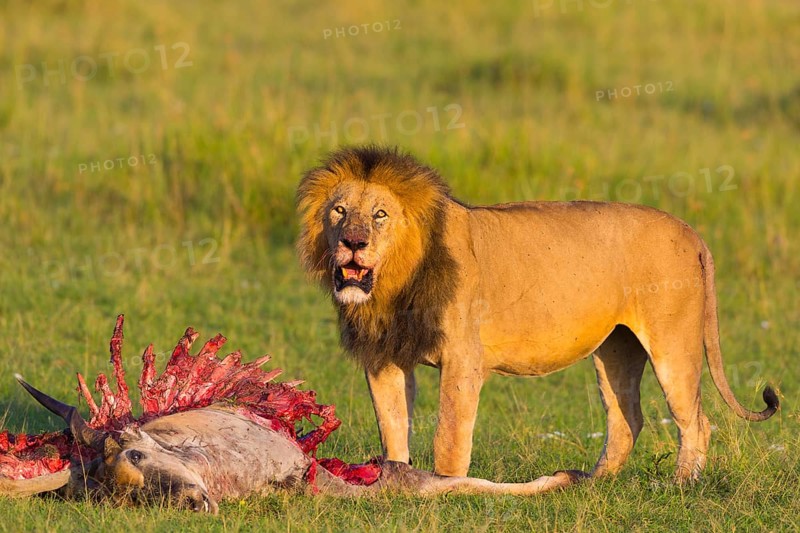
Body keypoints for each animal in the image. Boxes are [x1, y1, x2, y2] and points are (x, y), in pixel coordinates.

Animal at [296, 145, 779, 483]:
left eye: (380, 215)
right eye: (339, 210)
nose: (353, 242)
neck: (393, 289)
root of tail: (692, 232)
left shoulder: (462, 360)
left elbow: (449, 432)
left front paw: (445, 485)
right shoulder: (384, 358)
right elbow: (392, 423)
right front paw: (393, 481)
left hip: (672, 345)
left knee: (695, 420)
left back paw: (680, 483)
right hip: (616, 348)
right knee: (627, 418)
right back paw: (591, 482)